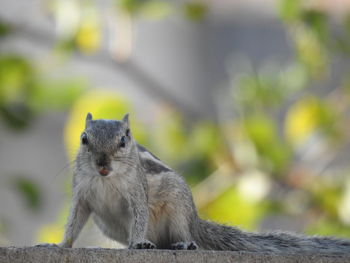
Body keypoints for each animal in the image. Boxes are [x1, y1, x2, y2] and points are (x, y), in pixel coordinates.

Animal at [43, 114, 350, 254]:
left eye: (123, 139)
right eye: (84, 138)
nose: (102, 163)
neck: (106, 180)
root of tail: (195, 222)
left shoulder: (137, 194)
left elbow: (140, 217)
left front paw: (139, 242)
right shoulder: (82, 195)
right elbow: (74, 222)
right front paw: (60, 245)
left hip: (179, 212)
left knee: (183, 235)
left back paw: (183, 243)